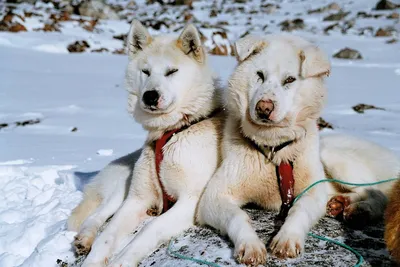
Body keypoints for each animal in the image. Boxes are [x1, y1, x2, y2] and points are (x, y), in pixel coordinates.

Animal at [69, 20, 225, 267]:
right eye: (146, 72)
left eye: (172, 71)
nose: (150, 96)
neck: (172, 132)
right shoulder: (136, 198)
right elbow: (107, 235)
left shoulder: (191, 201)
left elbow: (149, 230)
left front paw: (122, 261)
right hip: (125, 186)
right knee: (99, 214)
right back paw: (85, 237)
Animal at [198, 34, 400, 266]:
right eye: (259, 75)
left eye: (289, 80)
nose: (263, 107)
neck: (275, 151)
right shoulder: (213, 197)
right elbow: (238, 216)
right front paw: (249, 244)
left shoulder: (312, 191)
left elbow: (299, 210)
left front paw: (287, 238)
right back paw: (341, 203)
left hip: (333, 157)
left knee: (379, 193)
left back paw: (361, 210)